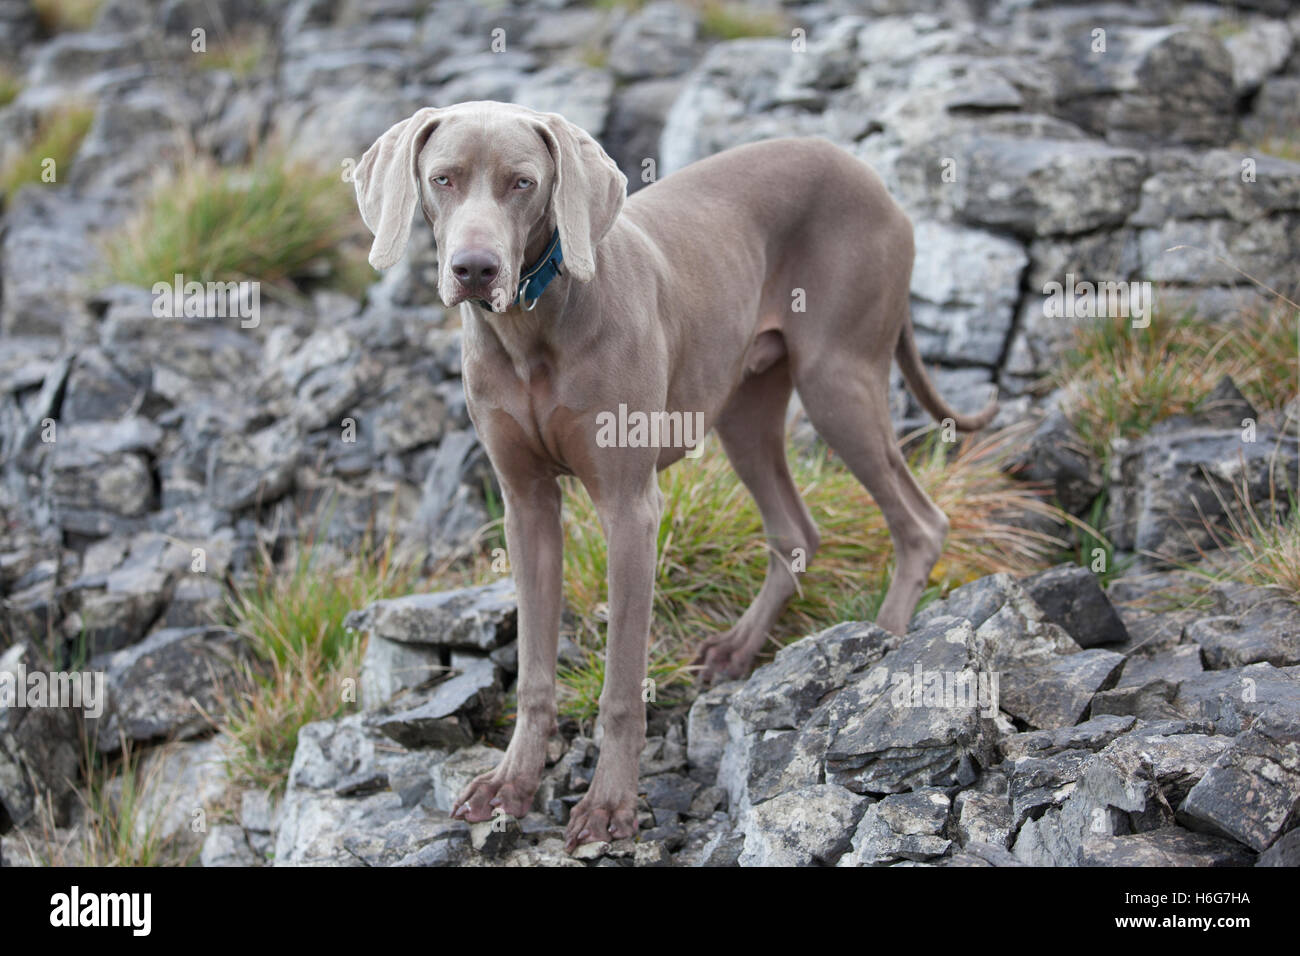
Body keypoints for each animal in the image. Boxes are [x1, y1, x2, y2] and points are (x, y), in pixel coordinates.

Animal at [356, 102, 993, 853]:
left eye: (523, 183)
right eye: (442, 178)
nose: (475, 269)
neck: (534, 328)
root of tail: (876, 181)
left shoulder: (630, 509)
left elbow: (621, 686)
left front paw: (610, 805)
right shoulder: (526, 507)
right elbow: (535, 671)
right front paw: (511, 783)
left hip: (839, 379)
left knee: (920, 522)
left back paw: (887, 644)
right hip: (746, 408)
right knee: (796, 530)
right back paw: (740, 648)